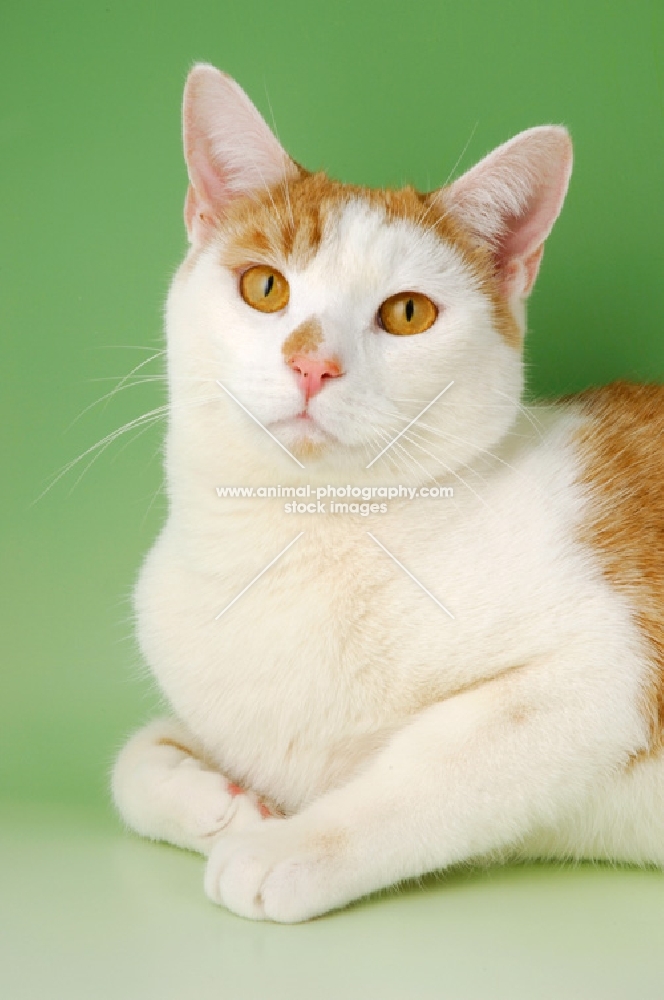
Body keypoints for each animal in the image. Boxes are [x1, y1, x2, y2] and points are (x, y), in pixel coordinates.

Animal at [111, 62, 664, 920]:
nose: (313, 363)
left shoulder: (602, 671)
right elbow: (129, 762)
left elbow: (429, 770)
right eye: (264, 287)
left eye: (408, 313)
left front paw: (287, 846)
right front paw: (218, 801)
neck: (308, 533)